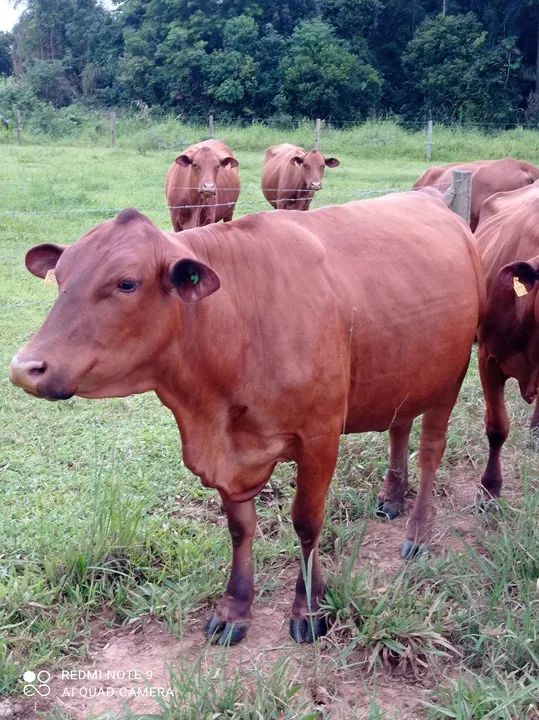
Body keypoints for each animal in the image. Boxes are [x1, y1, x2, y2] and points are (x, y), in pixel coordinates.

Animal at [10, 192, 483, 646]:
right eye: (60, 278)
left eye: (127, 282)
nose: (24, 367)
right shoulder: (229, 455)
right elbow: (239, 528)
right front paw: (233, 609)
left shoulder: (320, 436)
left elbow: (307, 522)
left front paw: (309, 610)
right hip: (405, 376)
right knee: (400, 428)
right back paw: (391, 497)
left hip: (451, 377)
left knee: (431, 452)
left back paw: (418, 532)